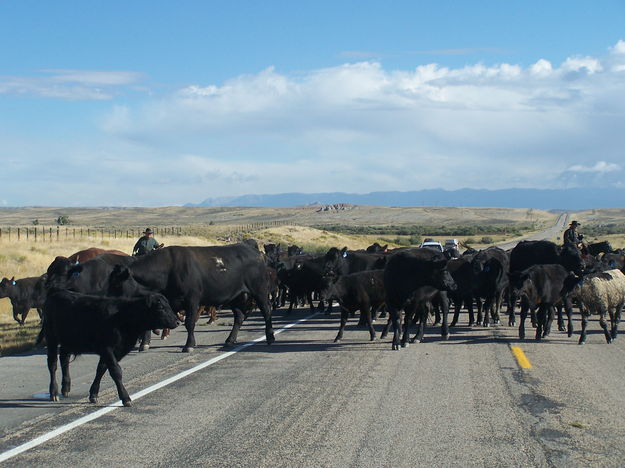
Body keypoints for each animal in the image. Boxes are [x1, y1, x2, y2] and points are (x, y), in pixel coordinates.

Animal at [40, 288, 179, 406]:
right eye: (160, 307)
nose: (177, 321)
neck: (123, 317)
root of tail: (57, 293)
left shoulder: (117, 351)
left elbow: (101, 369)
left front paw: (93, 394)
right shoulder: (107, 348)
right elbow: (116, 371)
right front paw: (125, 398)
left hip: (68, 341)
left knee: (64, 359)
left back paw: (66, 388)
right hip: (51, 337)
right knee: (52, 364)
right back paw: (54, 393)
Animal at [107, 245, 272, 352]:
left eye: (116, 283)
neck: (167, 270)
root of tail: (256, 252)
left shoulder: (192, 300)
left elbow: (189, 323)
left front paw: (189, 345)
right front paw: (144, 345)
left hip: (259, 290)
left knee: (266, 311)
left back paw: (270, 337)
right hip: (235, 297)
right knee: (239, 316)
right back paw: (229, 340)